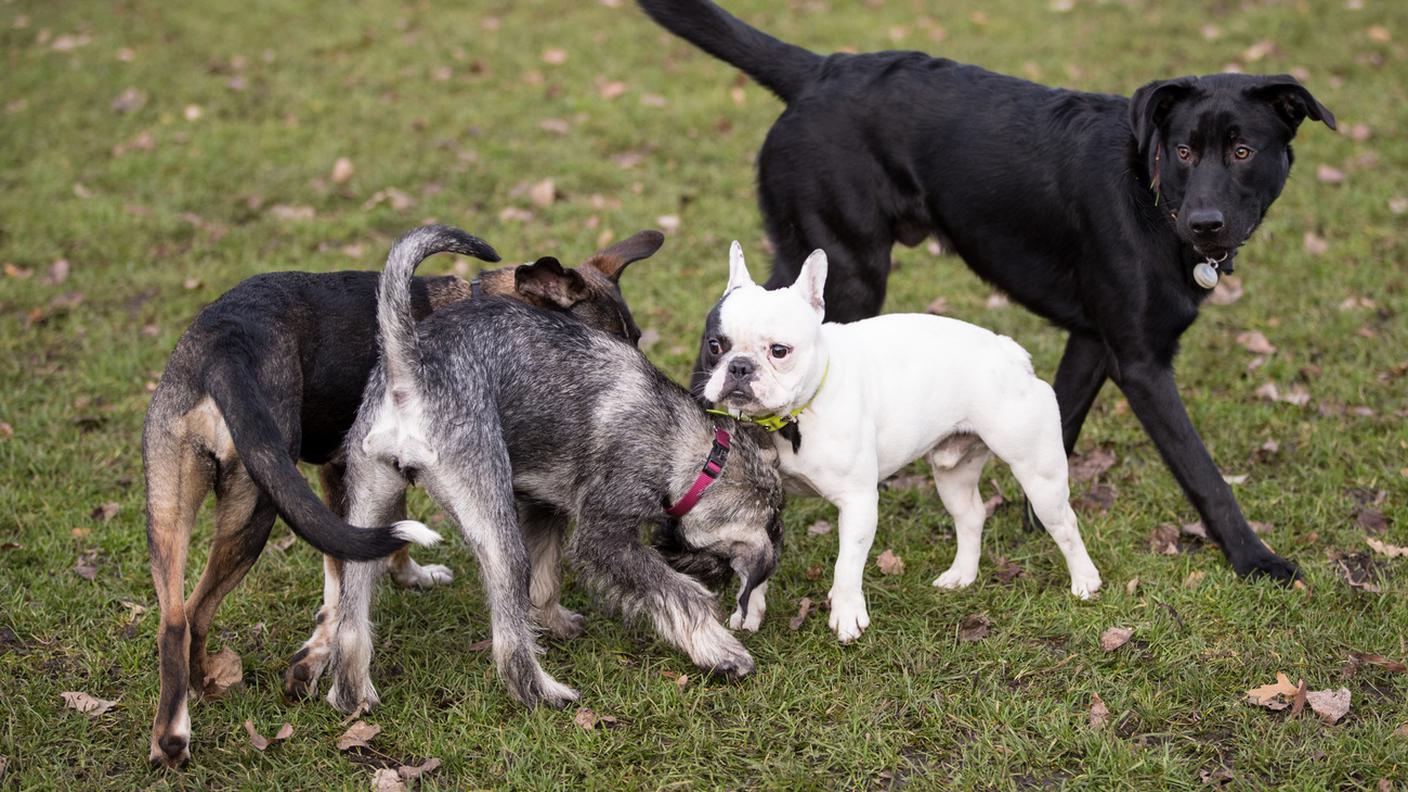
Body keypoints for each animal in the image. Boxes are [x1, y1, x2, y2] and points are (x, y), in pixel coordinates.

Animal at [142, 228, 664, 766]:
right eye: (599, 350)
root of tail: (225, 344)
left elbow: (370, 552)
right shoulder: (340, 474)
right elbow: (350, 569)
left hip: (170, 503)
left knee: (178, 617)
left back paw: (183, 718)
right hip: (260, 506)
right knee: (197, 609)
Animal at [322, 224, 788, 710]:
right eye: (720, 564)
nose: (710, 573)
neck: (696, 454)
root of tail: (408, 371)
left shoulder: (545, 506)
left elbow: (545, 580)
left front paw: (556, 622)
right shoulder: (603, 537)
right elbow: (677, 593)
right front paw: (721, 650)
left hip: (367, 507)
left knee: (351, 618)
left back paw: (354, 695)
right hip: (496, 528)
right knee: (508, 637)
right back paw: (544, 693)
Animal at [644, 0, 1334, 580]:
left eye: (1242, 151)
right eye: (1186, 151)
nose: (1205, 223)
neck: (1150, 186)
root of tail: (821, 69)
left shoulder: (1093, 340)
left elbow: (1062, 422)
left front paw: (1036, 521)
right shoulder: (1140, 363)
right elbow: (1203, 472)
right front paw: (1255, 558)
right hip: (845, 267)